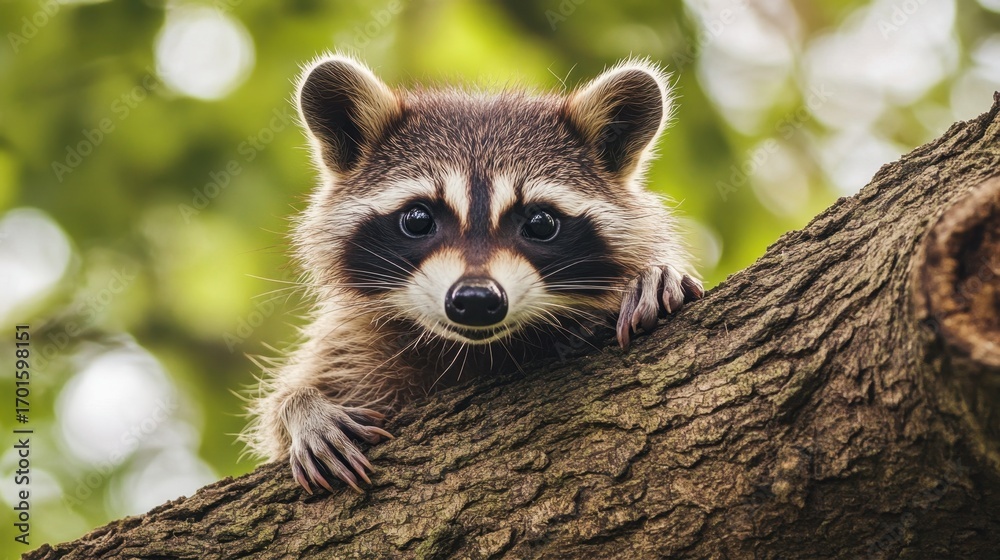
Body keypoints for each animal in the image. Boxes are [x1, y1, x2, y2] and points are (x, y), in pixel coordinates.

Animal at [244, 54, 703, 493]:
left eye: (540, 223)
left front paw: (653, 275)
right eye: (417, 220)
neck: (476, 349)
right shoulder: (353, 347)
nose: (477, 300)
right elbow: (292, 401)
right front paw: (302, 408)